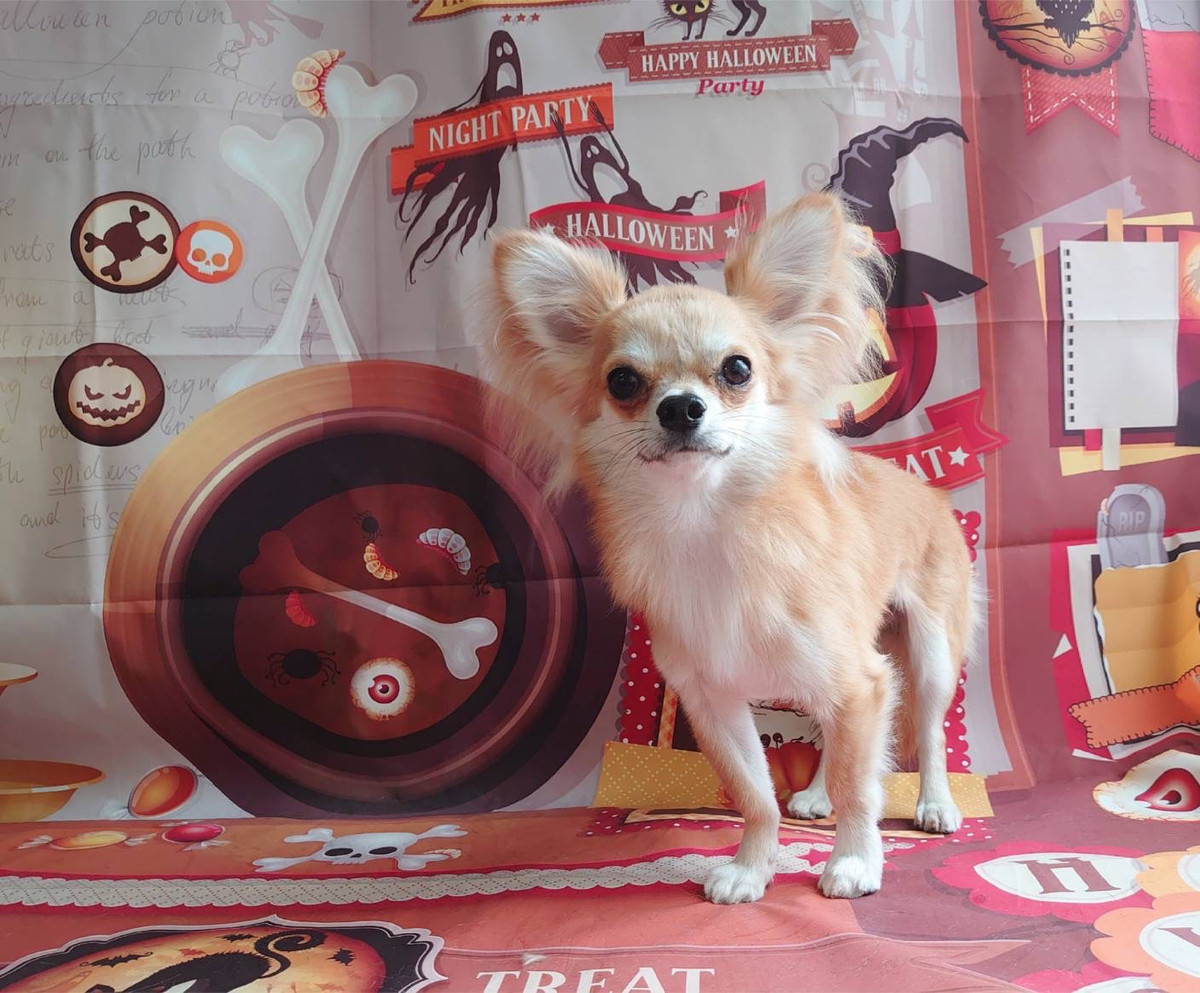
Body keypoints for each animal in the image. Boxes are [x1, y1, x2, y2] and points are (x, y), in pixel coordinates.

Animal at [484, 192, 976, 902]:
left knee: (931, 731)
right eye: (623, 381)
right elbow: (755, 794)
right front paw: (752, 867)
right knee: (831, 734)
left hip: (931, 649)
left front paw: (855, 861)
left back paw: (935, 802)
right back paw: (815, 795)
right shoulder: (714, 701)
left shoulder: (862, 681)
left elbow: (860, 785)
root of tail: (931, 493)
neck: (709, 525)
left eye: (737, 369)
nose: (680, 407)